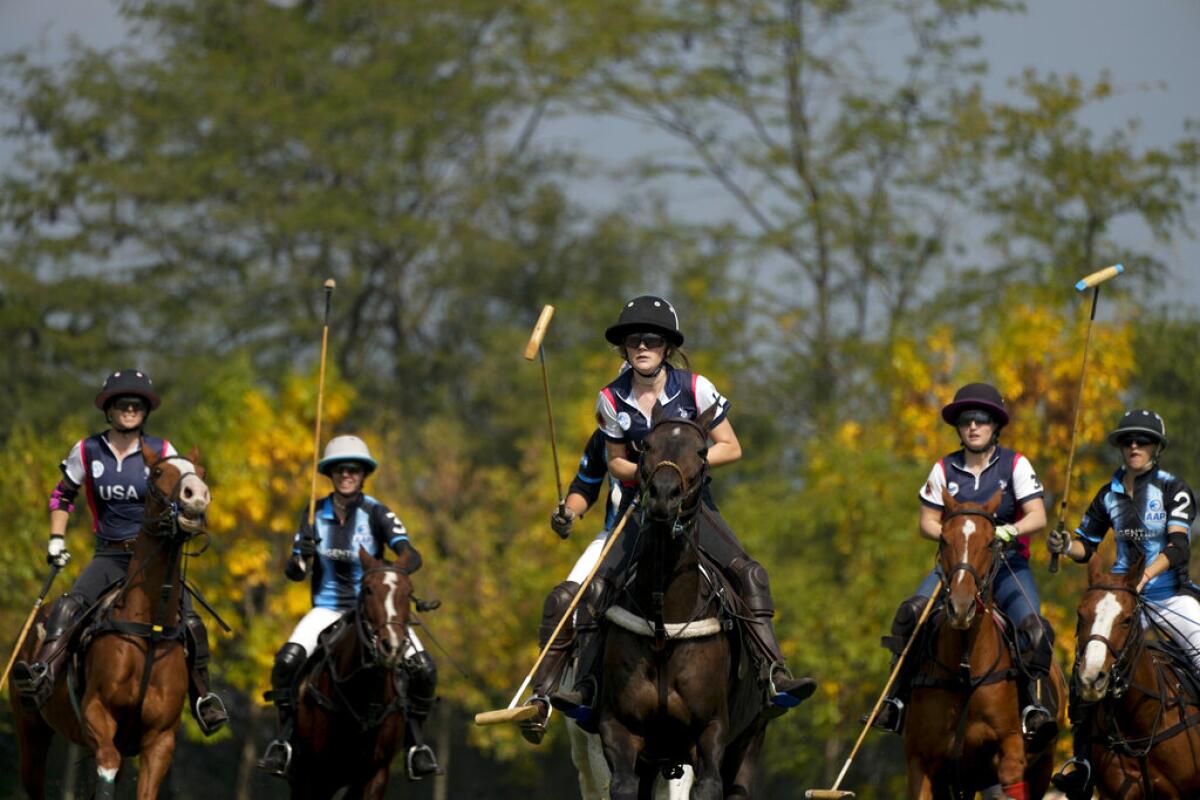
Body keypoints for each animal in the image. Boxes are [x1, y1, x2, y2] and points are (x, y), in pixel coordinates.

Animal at [8, 443, 211, 800]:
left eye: (199, 473)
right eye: (157, 472)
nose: (197, 496)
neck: (150, 629)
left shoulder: (160, 738)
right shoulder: (97, 713)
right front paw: (57, 551)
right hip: (29, 727)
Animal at [595, 407, 763, 800]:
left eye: (701, 451)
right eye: (646, 445)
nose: (663, 495)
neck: (663, 625)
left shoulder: (712, 731)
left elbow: (708, 785)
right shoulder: (619, 728)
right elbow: (622, 784)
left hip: (750, 739)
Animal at [902, 491, 1065, 796]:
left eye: (990, 542)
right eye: (943, 539)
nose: (960, 607)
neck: (966, 669)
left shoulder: (1011, 755)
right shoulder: (922, 762)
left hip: (1042, 765)